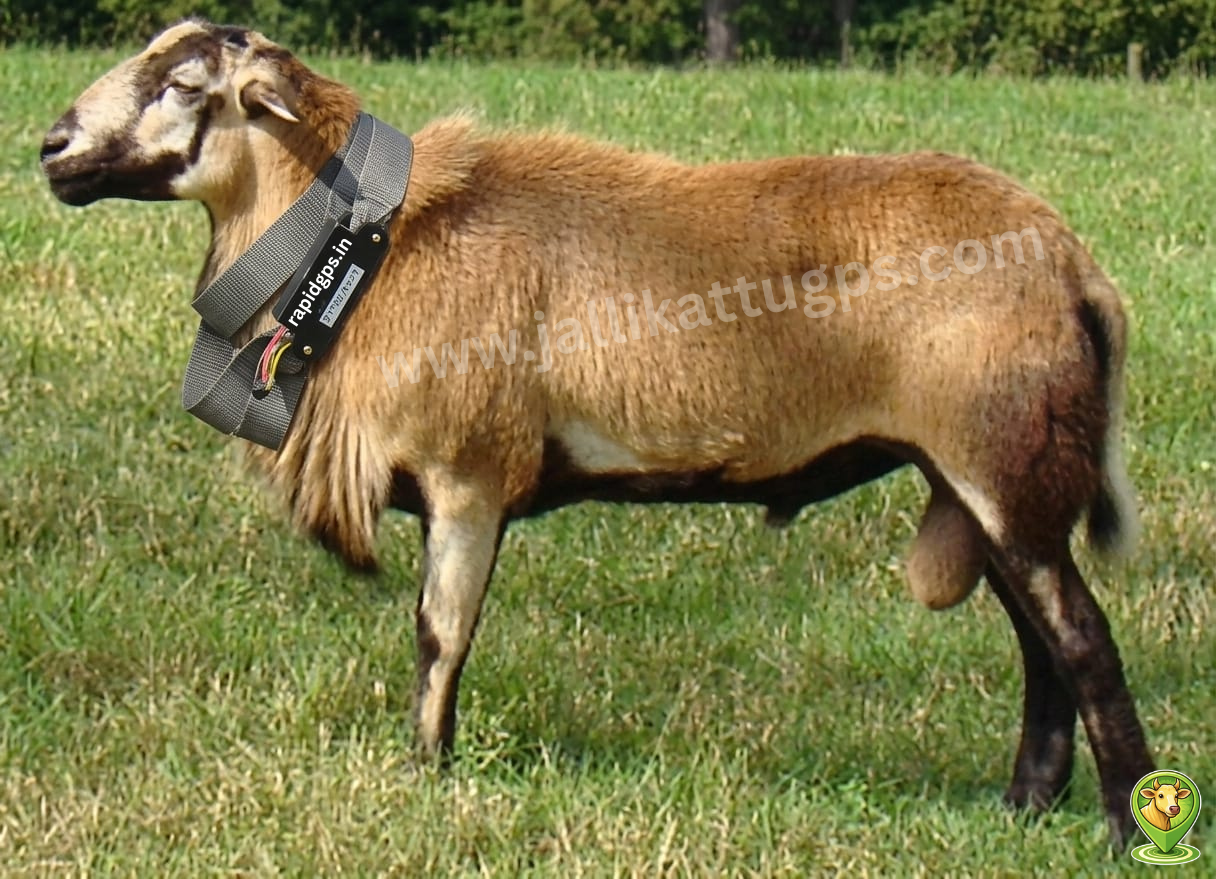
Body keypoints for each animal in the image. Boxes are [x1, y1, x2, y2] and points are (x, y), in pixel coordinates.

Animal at [40, 19, 1155, 846]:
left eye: (185, 83)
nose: (52, 148)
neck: (368, 249)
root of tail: (1077, 269)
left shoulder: (468, 475)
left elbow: (439, 632)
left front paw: (424, 771)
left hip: (1000, 459)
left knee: (1083, 641)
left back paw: (1122, 826)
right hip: (983, 479)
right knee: (1042, 647)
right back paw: (1024, 809)